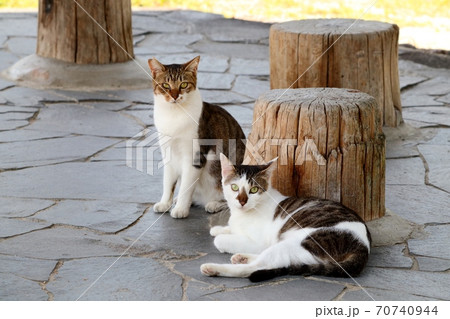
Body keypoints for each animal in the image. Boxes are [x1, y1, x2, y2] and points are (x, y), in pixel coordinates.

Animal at [148, 56, 246, 219]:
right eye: (165, 85)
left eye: (184, 84)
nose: (175, 96)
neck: (174, 114)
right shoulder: (168, 153)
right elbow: (168, 182)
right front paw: (165, 203)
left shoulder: (195, 156)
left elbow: (185, 187)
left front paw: (180, 210)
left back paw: (214, 204)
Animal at [200, 155, 370, 282]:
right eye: (234, 187)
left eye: (254, 190)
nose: (242, 201)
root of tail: (363, 246)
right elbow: (227, 230)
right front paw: (220, 229)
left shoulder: (260, 242)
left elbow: (220, 240)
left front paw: (222, 235)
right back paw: (242, 257)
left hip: (300, 243)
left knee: (256, 267)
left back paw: (214, 268)